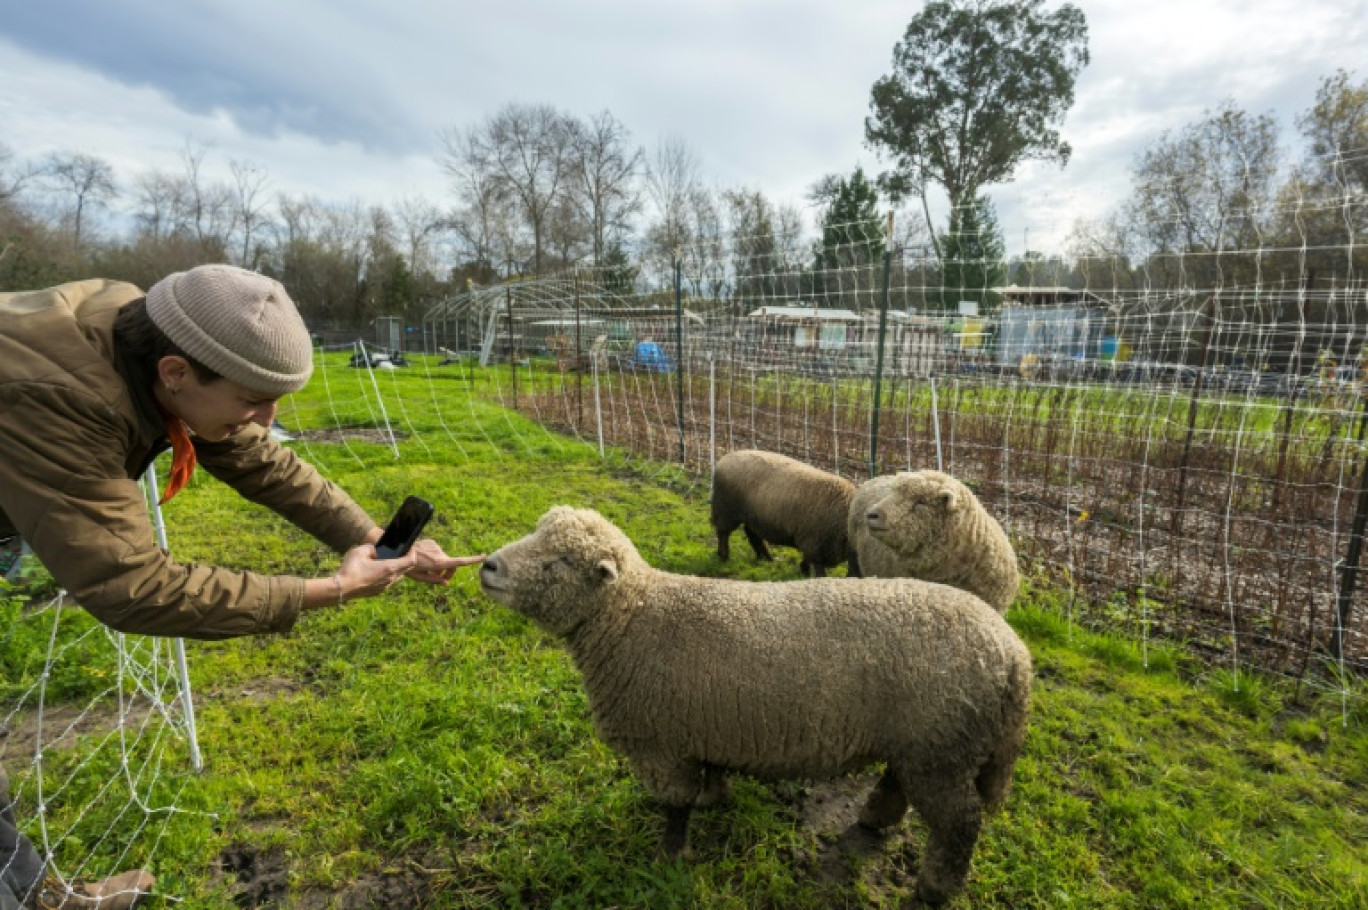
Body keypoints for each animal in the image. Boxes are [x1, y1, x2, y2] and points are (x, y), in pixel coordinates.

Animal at [476, 503, 1028, 903]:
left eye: (563, 561)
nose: (488, 567)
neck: (633, 619)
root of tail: (1012, 652)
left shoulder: (661, 744)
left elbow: (674, 806)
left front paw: (669, 856)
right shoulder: (705, 726)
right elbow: (709, 776)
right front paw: (713, 797)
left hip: (941, 747)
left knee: (959, 823)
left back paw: (935, 889)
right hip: (924, 742)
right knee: (900, 784)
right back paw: (875, 818)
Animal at [705, 446, 853, 574]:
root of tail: (723, 460)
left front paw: (803, 569)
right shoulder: (815, 544)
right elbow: (818, 568)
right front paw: (808, 573)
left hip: (752, 514)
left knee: (752, 533)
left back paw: (765, 558)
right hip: (726, 510)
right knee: (723, 534)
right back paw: (724, 557)